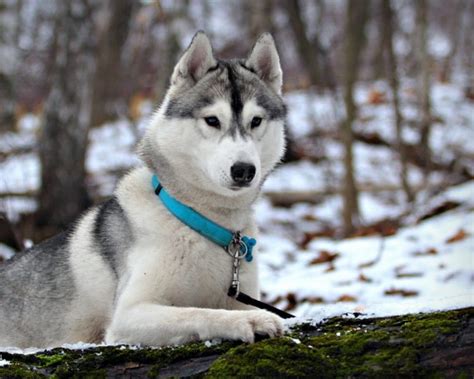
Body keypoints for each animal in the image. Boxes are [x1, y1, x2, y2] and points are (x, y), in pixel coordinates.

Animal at [0, 31, 286, 348]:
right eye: (212, 120)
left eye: (256, 121)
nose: (244, 170)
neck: (204, 223)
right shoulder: (128, 315)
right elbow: (197, 312)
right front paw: (249, 321)